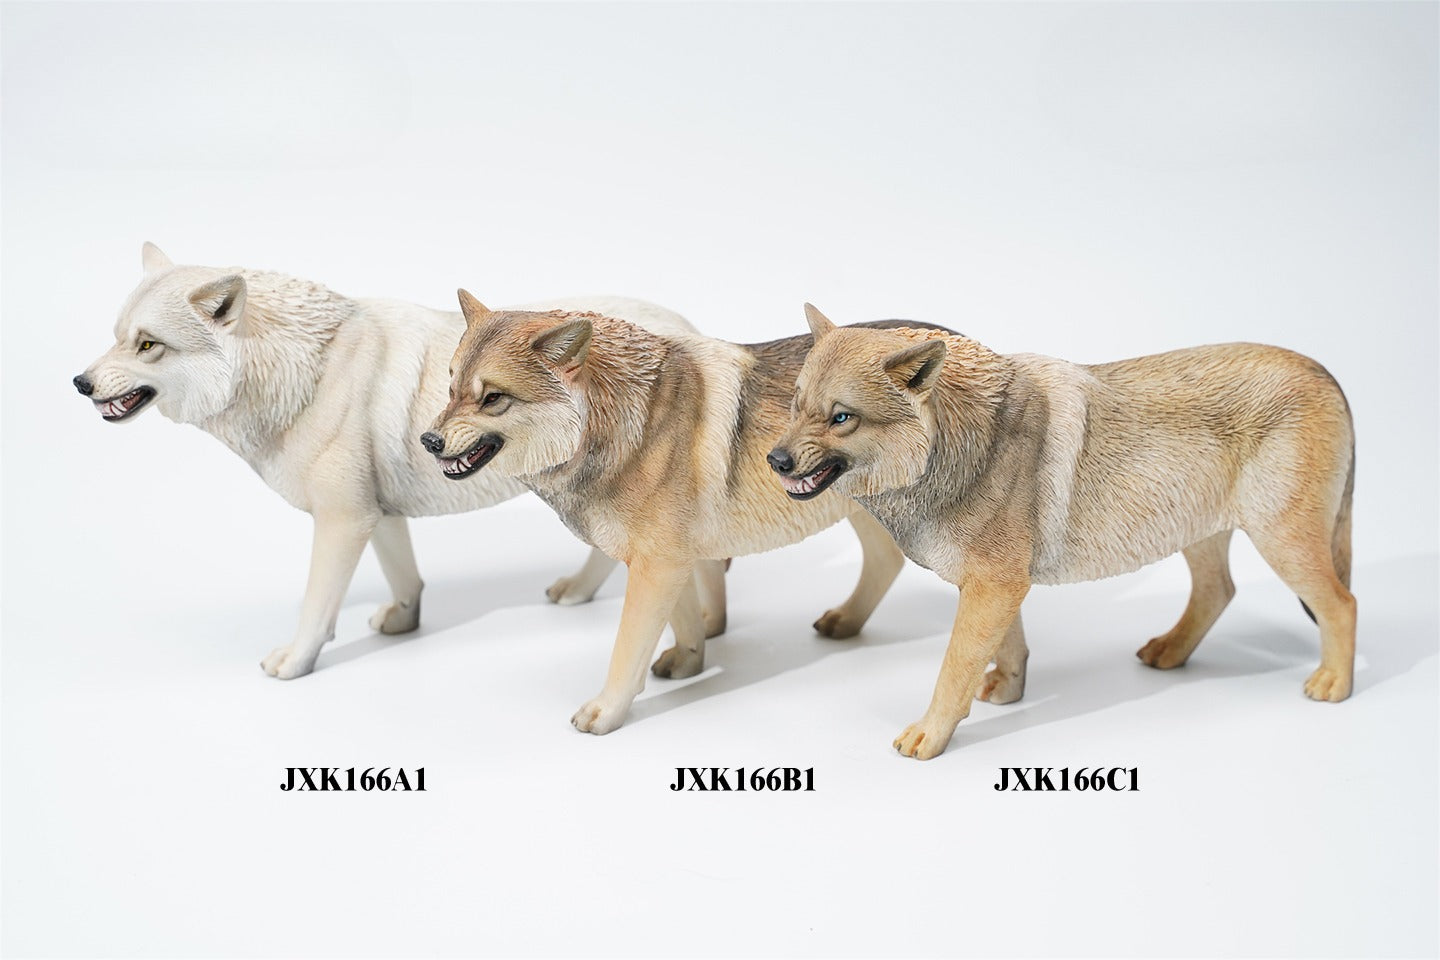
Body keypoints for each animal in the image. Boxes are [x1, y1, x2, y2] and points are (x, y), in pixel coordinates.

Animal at [73, 243, 698, 679]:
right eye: (116, 338)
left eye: (147, 345)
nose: (79, 383)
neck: (306, 372)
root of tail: (689, 327)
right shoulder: (377, 513)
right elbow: (405, 578)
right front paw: (403, 622)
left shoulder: (343, 520)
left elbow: (316, 607)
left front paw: (295, 662)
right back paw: (578, 591)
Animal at [422, 291, 937, 735]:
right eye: (450, 388)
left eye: (492, 398)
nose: (429, 441)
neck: (626, 424)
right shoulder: (670, 561)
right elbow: (684, 621)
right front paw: (690, 662)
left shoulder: (657, 565)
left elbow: (627, 648)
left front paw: (606, 712)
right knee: (885, 561)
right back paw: (845, 622)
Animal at [770, 304, 1356, 760]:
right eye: (797, 405)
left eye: (841, 417)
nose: (776, 461)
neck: (964, 444)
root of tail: (1326, 372)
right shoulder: (996, 586)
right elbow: (1007, 649)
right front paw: (1008, 693)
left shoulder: (995, 585)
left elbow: (954, 668)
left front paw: (931, 735)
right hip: (1199, 533)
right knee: (1219, 591)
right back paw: (1169, 652)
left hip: (1282, 543)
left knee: (1341, 604)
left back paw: (1335, 684)